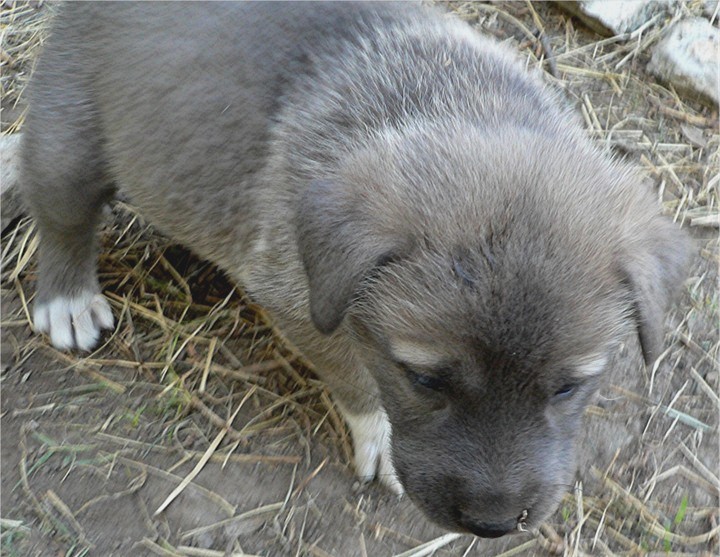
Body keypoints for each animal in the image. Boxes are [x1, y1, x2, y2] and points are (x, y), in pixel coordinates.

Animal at [19, 1, 688, 540]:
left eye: (569, 387)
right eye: (424, 381)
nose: (493, 525)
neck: (448, 105)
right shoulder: (300, 303)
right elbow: (357, 378)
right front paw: (381, 438)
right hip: (69, 132)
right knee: (58, 213)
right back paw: (68, 299)